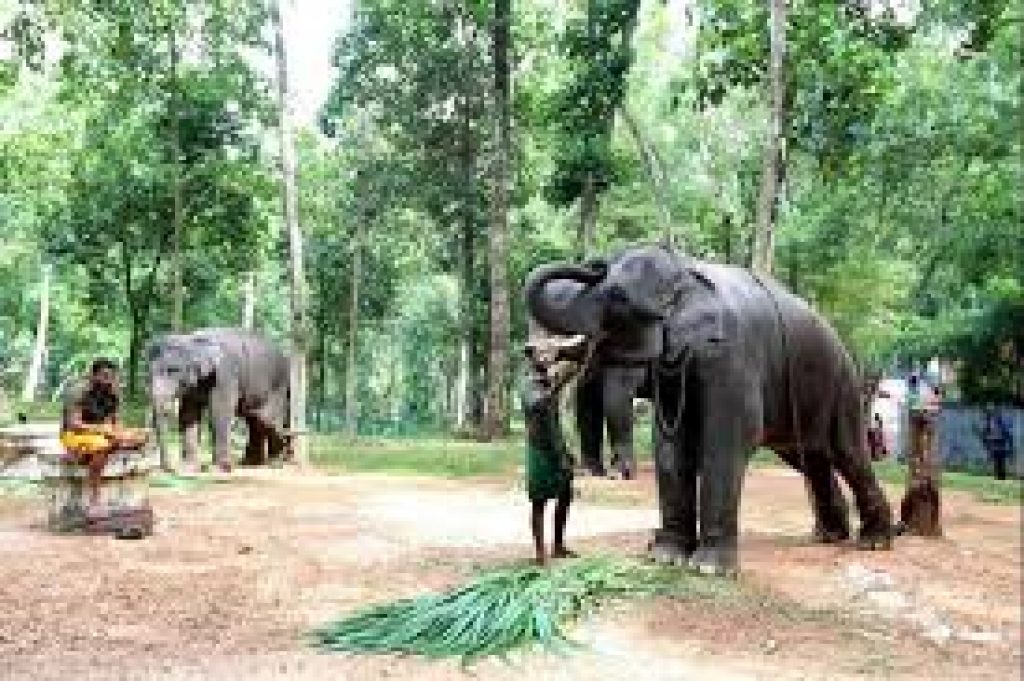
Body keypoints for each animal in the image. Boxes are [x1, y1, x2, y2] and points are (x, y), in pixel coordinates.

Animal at [147, 327, 290, 472]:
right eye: (150, 371)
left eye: (173, 370)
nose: (168, 468)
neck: (193, 339)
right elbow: (188, 414)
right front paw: (188, 466)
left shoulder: (224, 375)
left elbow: (219, 412)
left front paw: (219, 467)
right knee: (255, 420)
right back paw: (251, 463)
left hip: (278, 386)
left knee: (269, 419)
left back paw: (275, 462)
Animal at [525, 244, 895, 575]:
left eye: (618, 296)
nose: (595, 263)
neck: (686, 269)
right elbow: (670, 447)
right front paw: (665, 557)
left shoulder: (731, 357)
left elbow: (726, 442)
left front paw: (708, 568)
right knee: (812, 459)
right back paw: (829, 535)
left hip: (841, 386)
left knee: (847, 453)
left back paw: (874, 542)